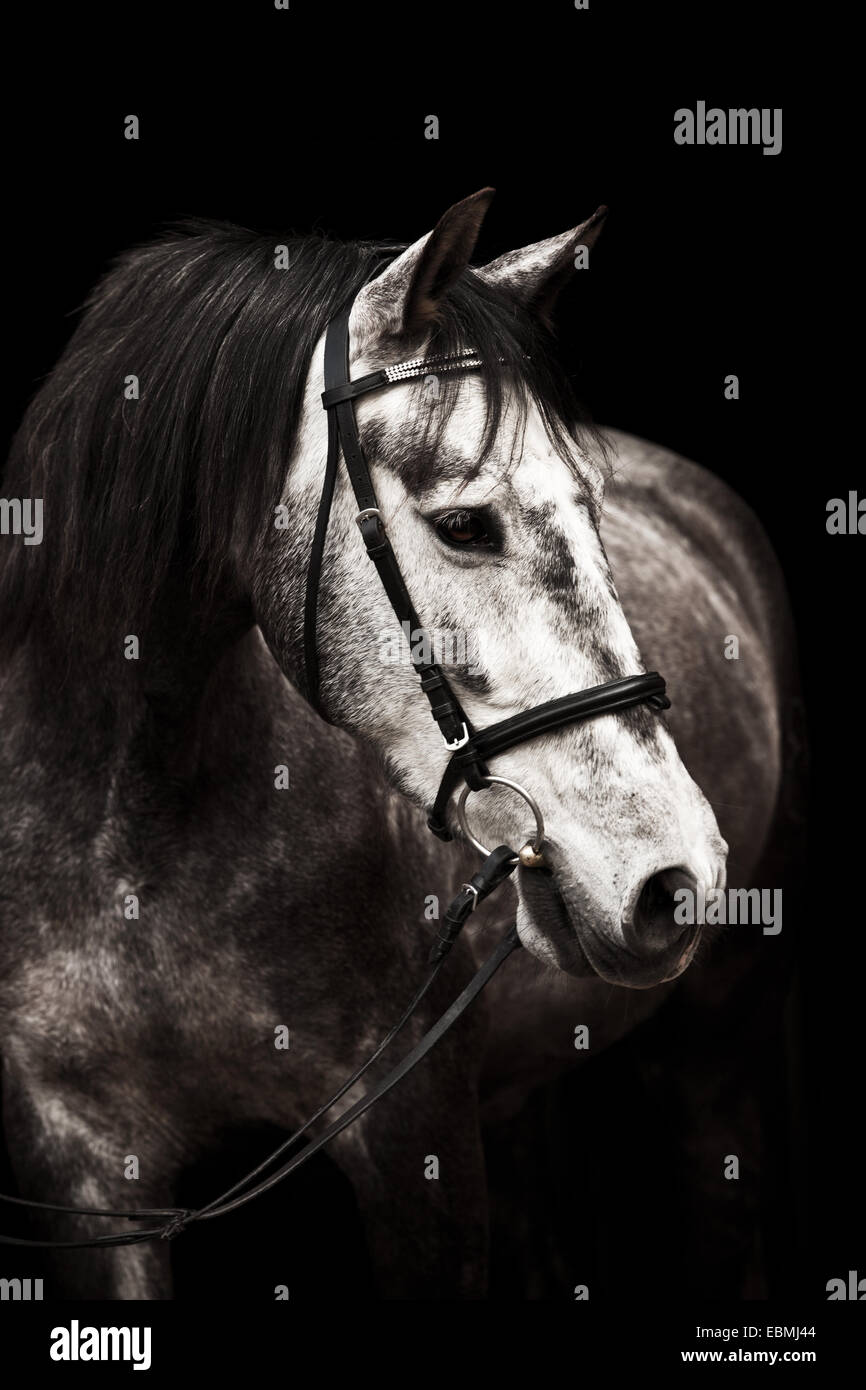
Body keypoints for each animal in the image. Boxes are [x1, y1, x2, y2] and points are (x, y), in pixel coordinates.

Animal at [0, 190, 800, 1295]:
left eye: (592, 504)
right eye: (465, 524)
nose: (678, 874)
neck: (136, 826)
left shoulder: (413, 1138)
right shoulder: (83, 1173)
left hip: (714, 1043)